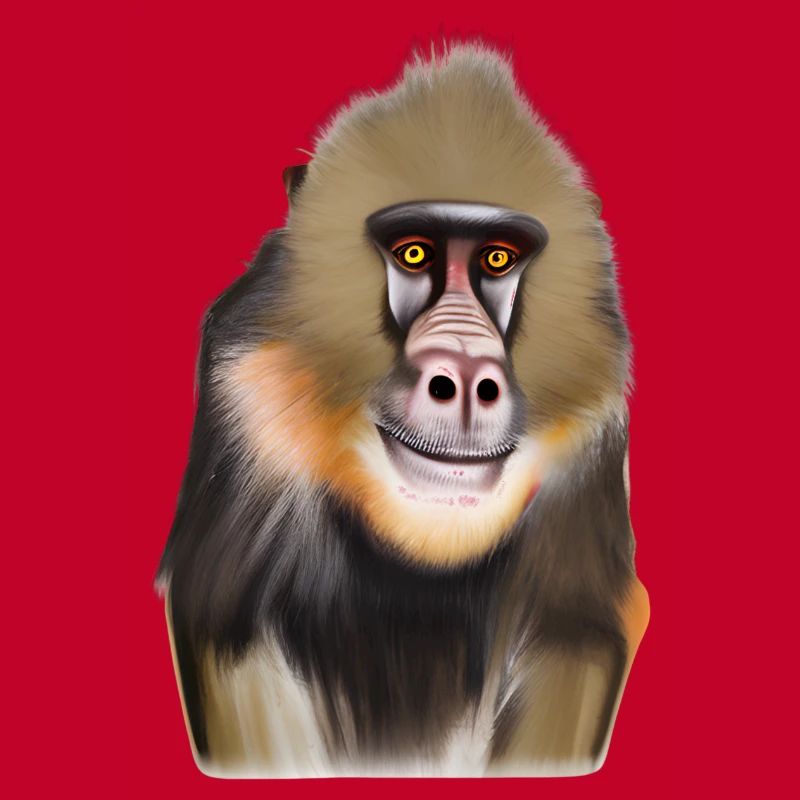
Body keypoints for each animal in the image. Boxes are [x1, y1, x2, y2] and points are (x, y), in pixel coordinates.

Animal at [157, 43, 649, 778]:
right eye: (414, 251)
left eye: (497, 258)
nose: (466, 378)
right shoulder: (246, 398)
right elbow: (229, 629)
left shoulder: (589, 443)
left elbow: (573, 636)